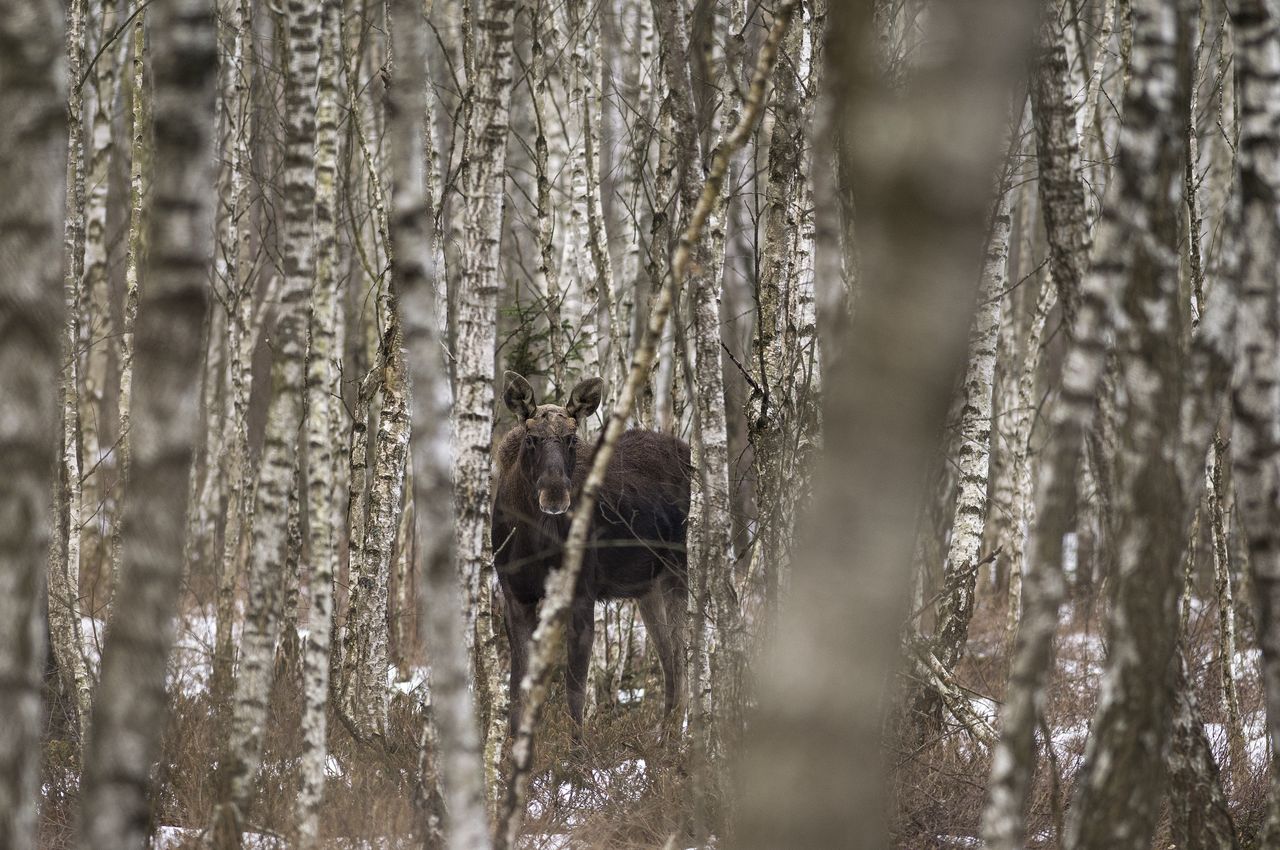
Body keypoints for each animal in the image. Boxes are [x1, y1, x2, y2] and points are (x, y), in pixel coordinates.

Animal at [491, 371, 691, 737]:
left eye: (572, 439)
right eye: (532, 439)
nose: (555, 494)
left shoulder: (581, 593)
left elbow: (576, 692)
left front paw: (578, 752)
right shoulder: (515, 596)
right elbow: (516, 691)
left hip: (679, 569)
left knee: (683, 659)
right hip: (648, 587)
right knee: (670, 661)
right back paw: (663, 739)